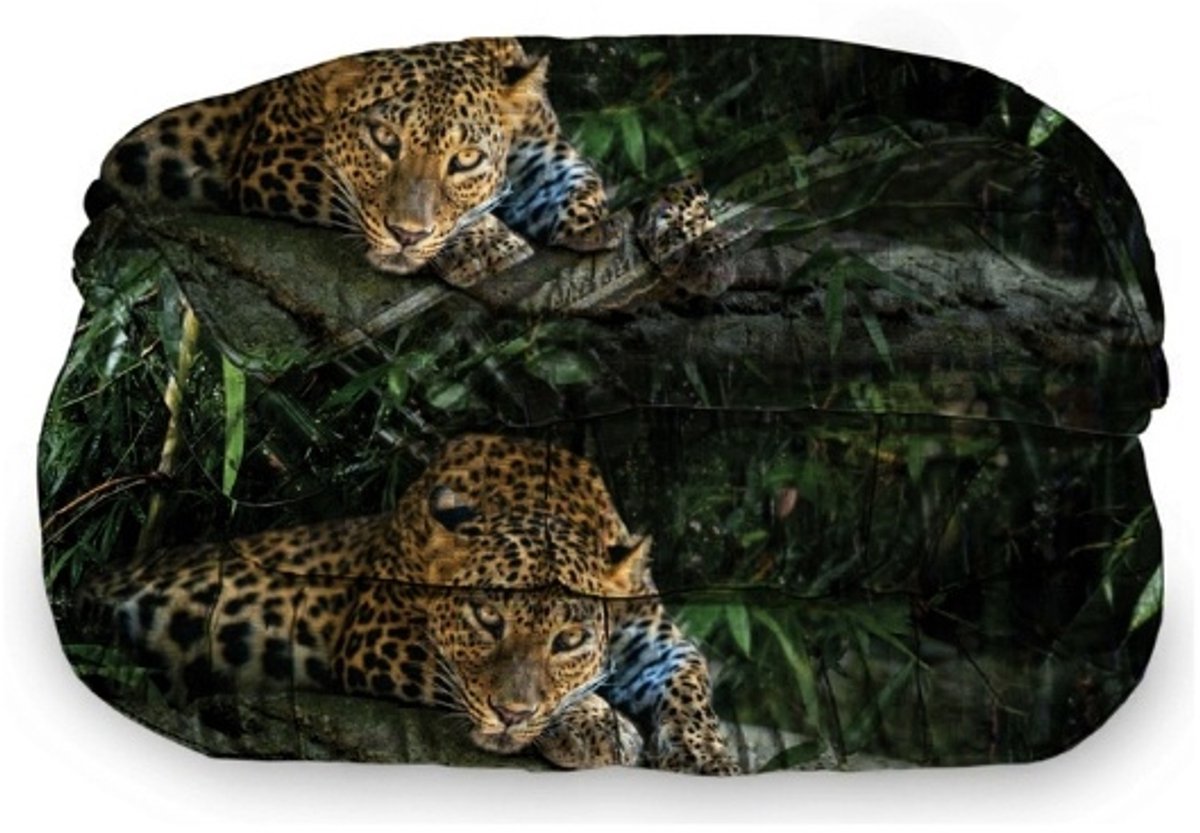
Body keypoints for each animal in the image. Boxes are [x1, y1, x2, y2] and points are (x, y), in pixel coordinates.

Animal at [76, 434, 739, 774]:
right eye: (486, 618)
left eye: (569, 640)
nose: (512, 716)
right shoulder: (377, 636)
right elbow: (459, 677)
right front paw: (595, 725)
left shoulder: (653, 638)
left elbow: (691, 678)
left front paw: (706, 754)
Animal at [86, 38, 622, 287]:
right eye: (384, 139)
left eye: (466, 159)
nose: (407, 236)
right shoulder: (271, 154)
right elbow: (347, 193)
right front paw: (486, 243)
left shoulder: (538, 142)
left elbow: (574, 174)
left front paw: (597, 222)